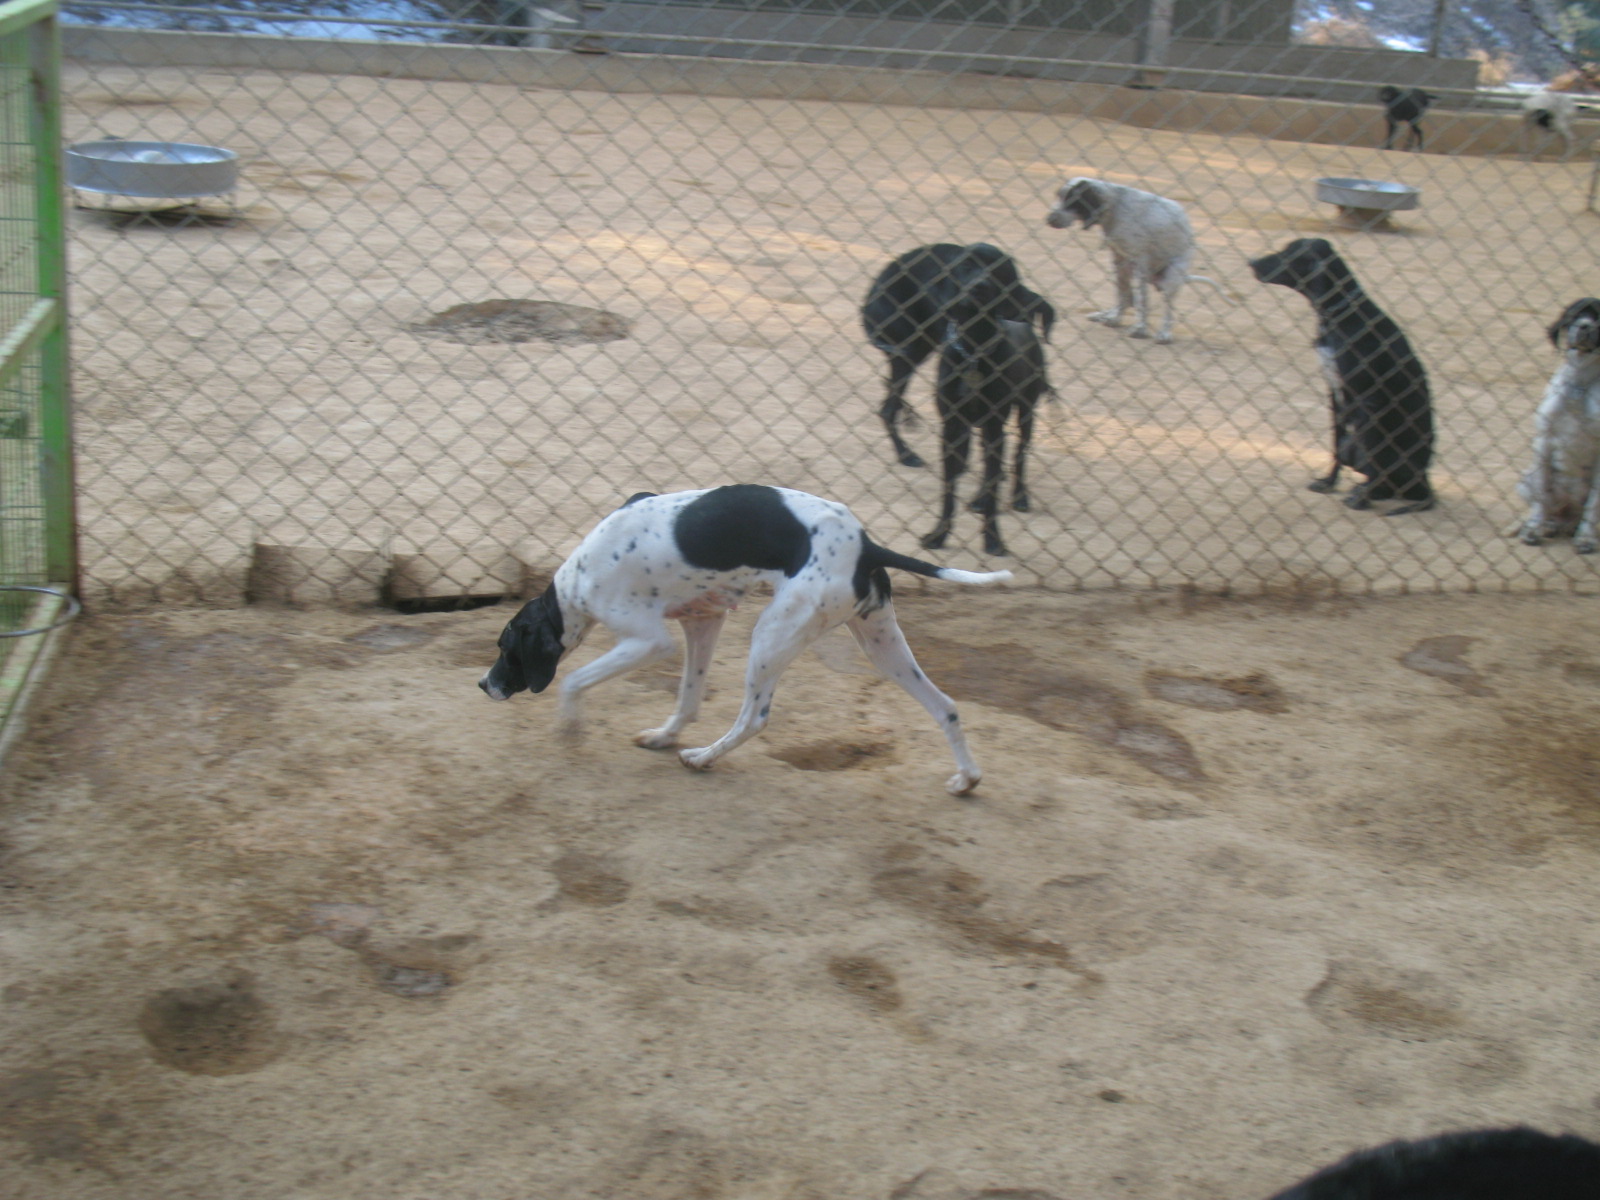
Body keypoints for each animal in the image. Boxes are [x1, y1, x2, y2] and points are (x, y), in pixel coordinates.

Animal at [479, 485, 1012, 795]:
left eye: (506, 649)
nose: (485, 685)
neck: (576, 580)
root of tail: (867, 544)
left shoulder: (649, 641)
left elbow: (573, 680)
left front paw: (570, 727)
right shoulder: (703, 622)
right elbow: (689, 697)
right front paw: (664, 735)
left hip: (771, 637)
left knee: (754, 718)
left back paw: (702, 758)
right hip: (881, 647)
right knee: (946, 707)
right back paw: (968, 778)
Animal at [862, 242, 1053, 469]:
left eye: (996, 270)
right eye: (967, 266)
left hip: (920, 349)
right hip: (908, 354)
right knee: (888, 409)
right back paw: (906, 454)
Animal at [1045, 176, 1230, 344]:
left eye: (1073, 201)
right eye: (1059, 196)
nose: (1049, 219)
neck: (1116, 206)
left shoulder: (1141, 260)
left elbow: (1141, 300)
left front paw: (1140, 329)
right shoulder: (1119, 257)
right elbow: (1123, 293)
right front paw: (1115, 318)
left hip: (1171, 276)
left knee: (1167, 308)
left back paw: (1164, 333)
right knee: (1128, 297)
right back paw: (1106, 314)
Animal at [1249, 238, 1435, 514]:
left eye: (1289, 253)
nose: (1251, 261)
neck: (1342, 313)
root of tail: (1426, 478)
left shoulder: (1368, 401)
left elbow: (1373, 459)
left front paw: (1362, 500)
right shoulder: (1335, 392)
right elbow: (1335, 445)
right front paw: (1328, 482)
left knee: (1391, 480)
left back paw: (1368, 492)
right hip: (1352, 442)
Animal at [1517, 297, 1600, 552]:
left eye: (1599, 316)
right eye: (1575, 315)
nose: (1585, 326)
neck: (1580, 384)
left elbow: (1594, 503)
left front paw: (1586, 538)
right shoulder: (1544, 441)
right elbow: (1542, 495)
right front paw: (1533, 529)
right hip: (1525, 479)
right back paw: (1546, 525)